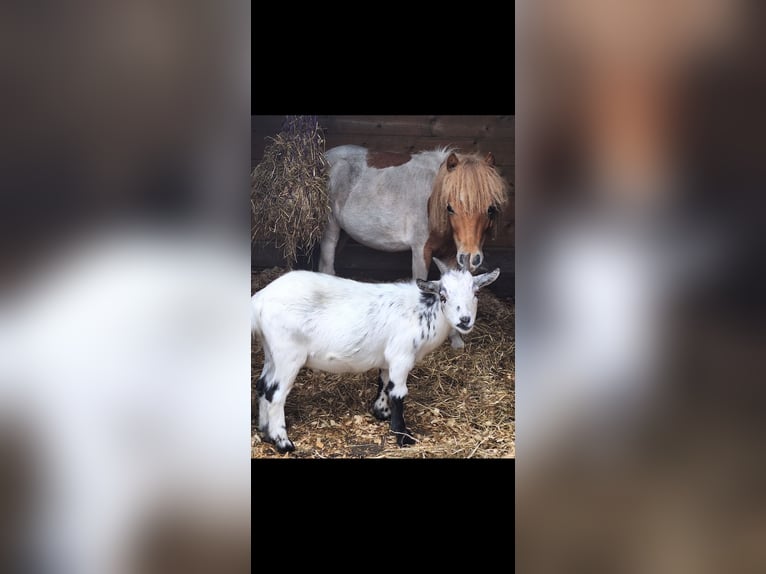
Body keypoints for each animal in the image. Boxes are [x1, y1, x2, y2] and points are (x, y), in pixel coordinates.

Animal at [254, 260, 504, 454]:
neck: (423, 311)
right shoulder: (401, 356)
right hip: (289, 354)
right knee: (275, 393)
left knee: (263, 385)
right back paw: (283, 442)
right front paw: (403, 435)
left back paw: (265, 432)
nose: (465, 320)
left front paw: (381, 412)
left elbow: (385, 383)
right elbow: (399, 393)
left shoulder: (388, 359)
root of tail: (260, 299)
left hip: (272, 352)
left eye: (476, 293)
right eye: (443, 296)